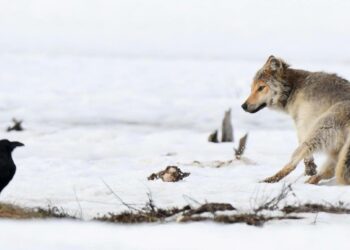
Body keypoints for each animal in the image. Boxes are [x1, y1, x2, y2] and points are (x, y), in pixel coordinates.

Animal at [242, 56, 350, 186]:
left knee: (292, 164)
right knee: (325, 173)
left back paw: (268, 180)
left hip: (318, 134)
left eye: (261, 88)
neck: (293, 88)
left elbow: (306, 157)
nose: (243, 106)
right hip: (337, 155)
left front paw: (309, 168)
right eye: (252, 88)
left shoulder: (303, 125)